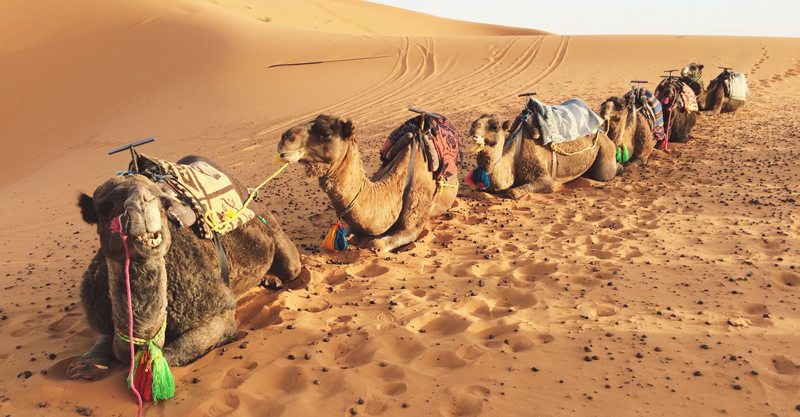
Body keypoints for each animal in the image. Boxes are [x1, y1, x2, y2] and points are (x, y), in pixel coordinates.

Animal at [68, 155, 301, 383]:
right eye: (103, 209)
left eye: (163, 202)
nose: (142, 203)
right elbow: (103, 344)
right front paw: (84, 365)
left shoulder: (217, 314)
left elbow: (165, 357)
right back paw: (270, 280)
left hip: (269, 224)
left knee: (291, 266)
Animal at [468, 106, 622, 199]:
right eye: (475, 122)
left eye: (495, 127)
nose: (474, 132)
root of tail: (602, 132)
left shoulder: (542, 174)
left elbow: (512, 191)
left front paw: (513, 192)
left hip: (604, 147)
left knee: (604, 174)